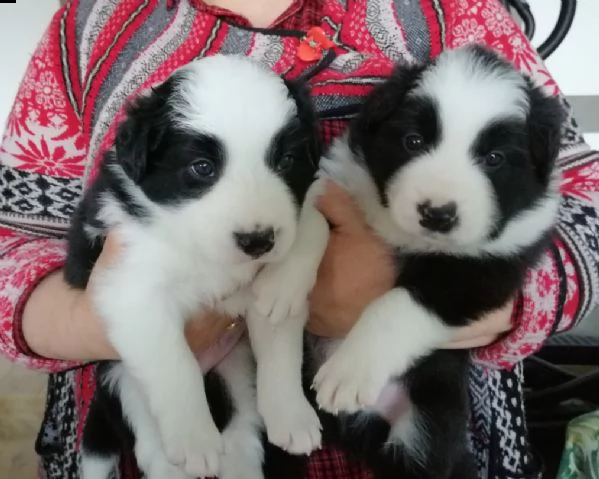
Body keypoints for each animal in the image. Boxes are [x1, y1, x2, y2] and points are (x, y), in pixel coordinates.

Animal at [64, 54, 328, 479]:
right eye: (202, 168)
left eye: (287, 161)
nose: (257, 241)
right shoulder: (130, 287)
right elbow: (174, 363)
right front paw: (194, 438)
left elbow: (281, 346)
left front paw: (292, 416)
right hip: (126, 388)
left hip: (236, 379)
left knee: (242, 441)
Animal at [310, 43, 568, 478]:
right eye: (413, 141)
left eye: (494, 158)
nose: (437, 214)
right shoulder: (337, 186)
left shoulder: (486, 269)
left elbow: (396, 306)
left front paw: (350, 370)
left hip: (427, 425)